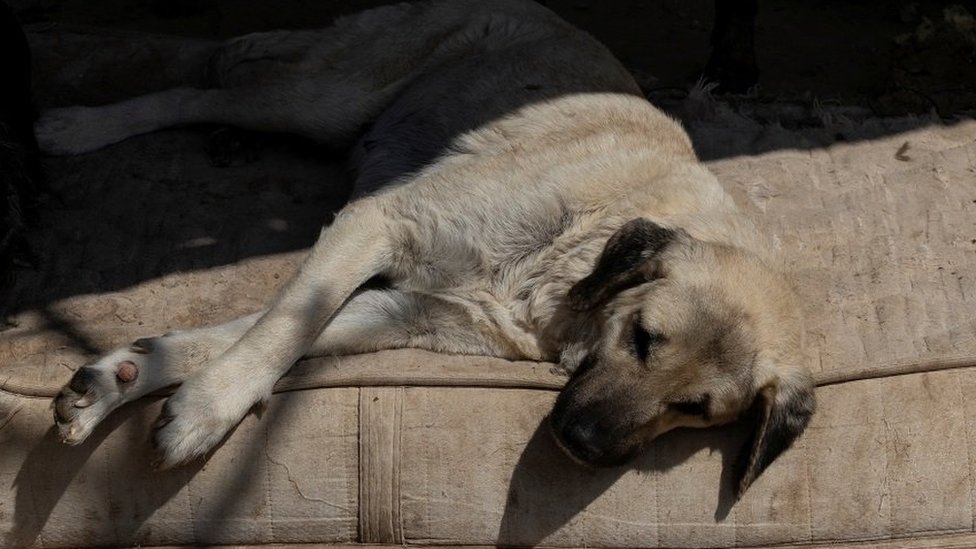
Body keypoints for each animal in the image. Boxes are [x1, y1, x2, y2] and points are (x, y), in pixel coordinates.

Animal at [38, 0, 812, 496]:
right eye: (643, 337)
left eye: (697, 410)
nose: (583, 445)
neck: (570, 262)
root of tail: (534, 4)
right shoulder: (377, 221)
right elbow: (284, 326)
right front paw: (206, 412)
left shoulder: (400, 310)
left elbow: (257, 330)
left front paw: (131, 376)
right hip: (326, 99)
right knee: (199, 94)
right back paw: (79, 127)